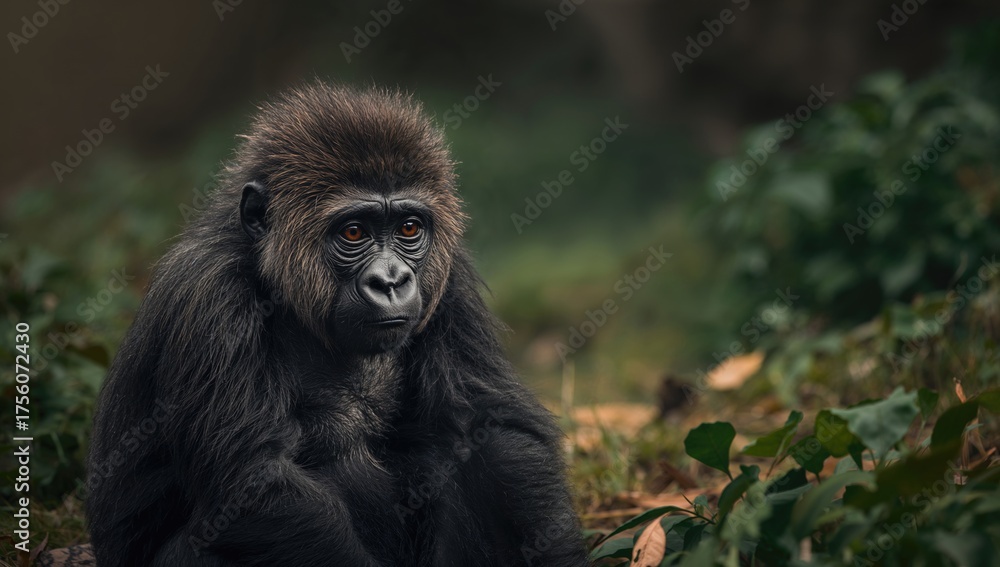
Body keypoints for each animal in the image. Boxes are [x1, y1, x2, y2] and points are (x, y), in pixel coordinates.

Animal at [85, 83, 589, 567]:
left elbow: (494, 430)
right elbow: (252, 484)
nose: (391, 281)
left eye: (409, 229)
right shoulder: (209, 295)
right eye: (353, 232)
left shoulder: (451, 278)